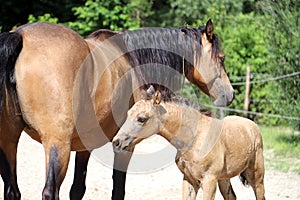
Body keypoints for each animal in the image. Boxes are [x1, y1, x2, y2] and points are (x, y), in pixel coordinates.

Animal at [0, 19, 234, 199]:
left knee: (12, 191)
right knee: (49, 191)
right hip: (57, 144)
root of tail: (20, 36)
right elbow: (118, 188)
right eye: (222, 58)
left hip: (8, 141)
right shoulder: (125, 145)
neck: (133, 60)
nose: (230, 95)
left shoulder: (85, 146)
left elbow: (77, 189)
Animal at [112, 91, 264, 200]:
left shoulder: (209, 182)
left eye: (142, 119)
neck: (194, 138)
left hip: (256, 176)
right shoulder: (189, 180)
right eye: (128, 114)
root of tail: (252, 126)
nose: (116, 142)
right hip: (224, 179)